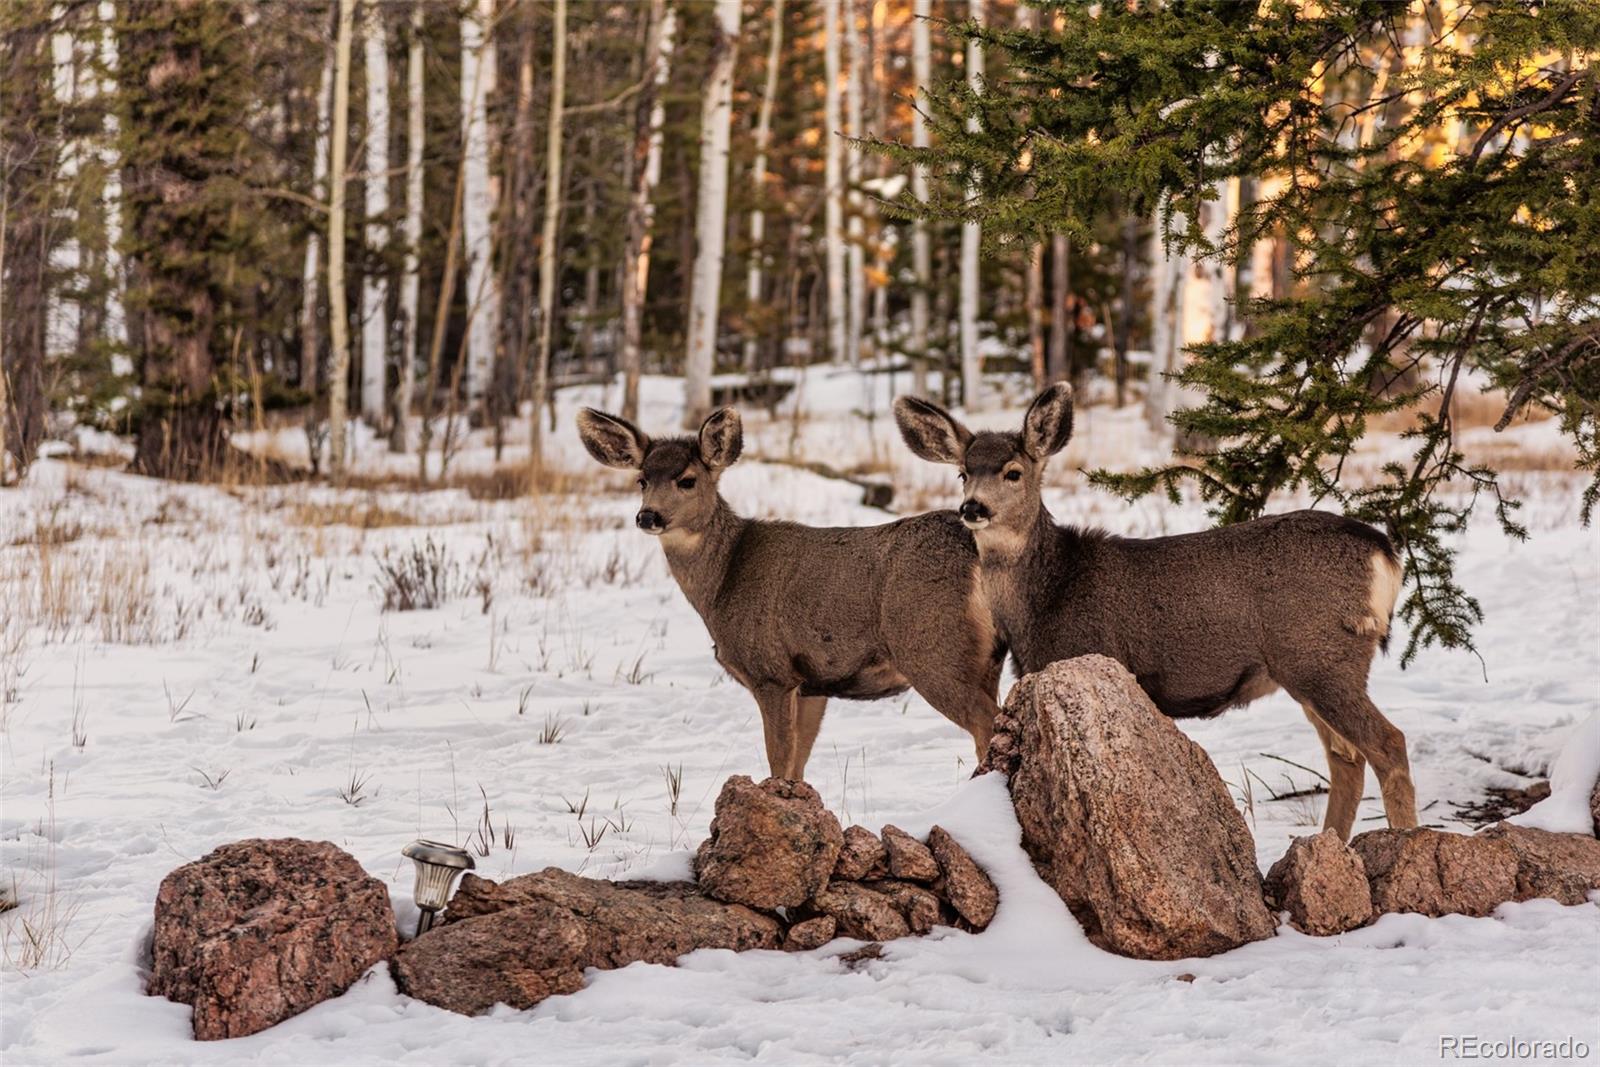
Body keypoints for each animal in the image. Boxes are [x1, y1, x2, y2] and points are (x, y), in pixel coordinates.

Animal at [572, 404, 998, 780]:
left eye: (687, 479)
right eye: (641, 480)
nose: (648, 516)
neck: (723, 581)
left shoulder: (770, 671)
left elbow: (778, 757)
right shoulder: (813, 683)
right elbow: (798, 764)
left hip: (930, 644)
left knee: (986, 719)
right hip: (985, 656)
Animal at [896, 385, 1420, 844]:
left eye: (1012, 471)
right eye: (963, 472)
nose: (972, 508)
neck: (1048, 595)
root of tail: (1384, 553)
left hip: (1321, 658)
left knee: (1388, 744)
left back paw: (1403, 839)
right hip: (1309, 668)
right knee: (1346, 759)